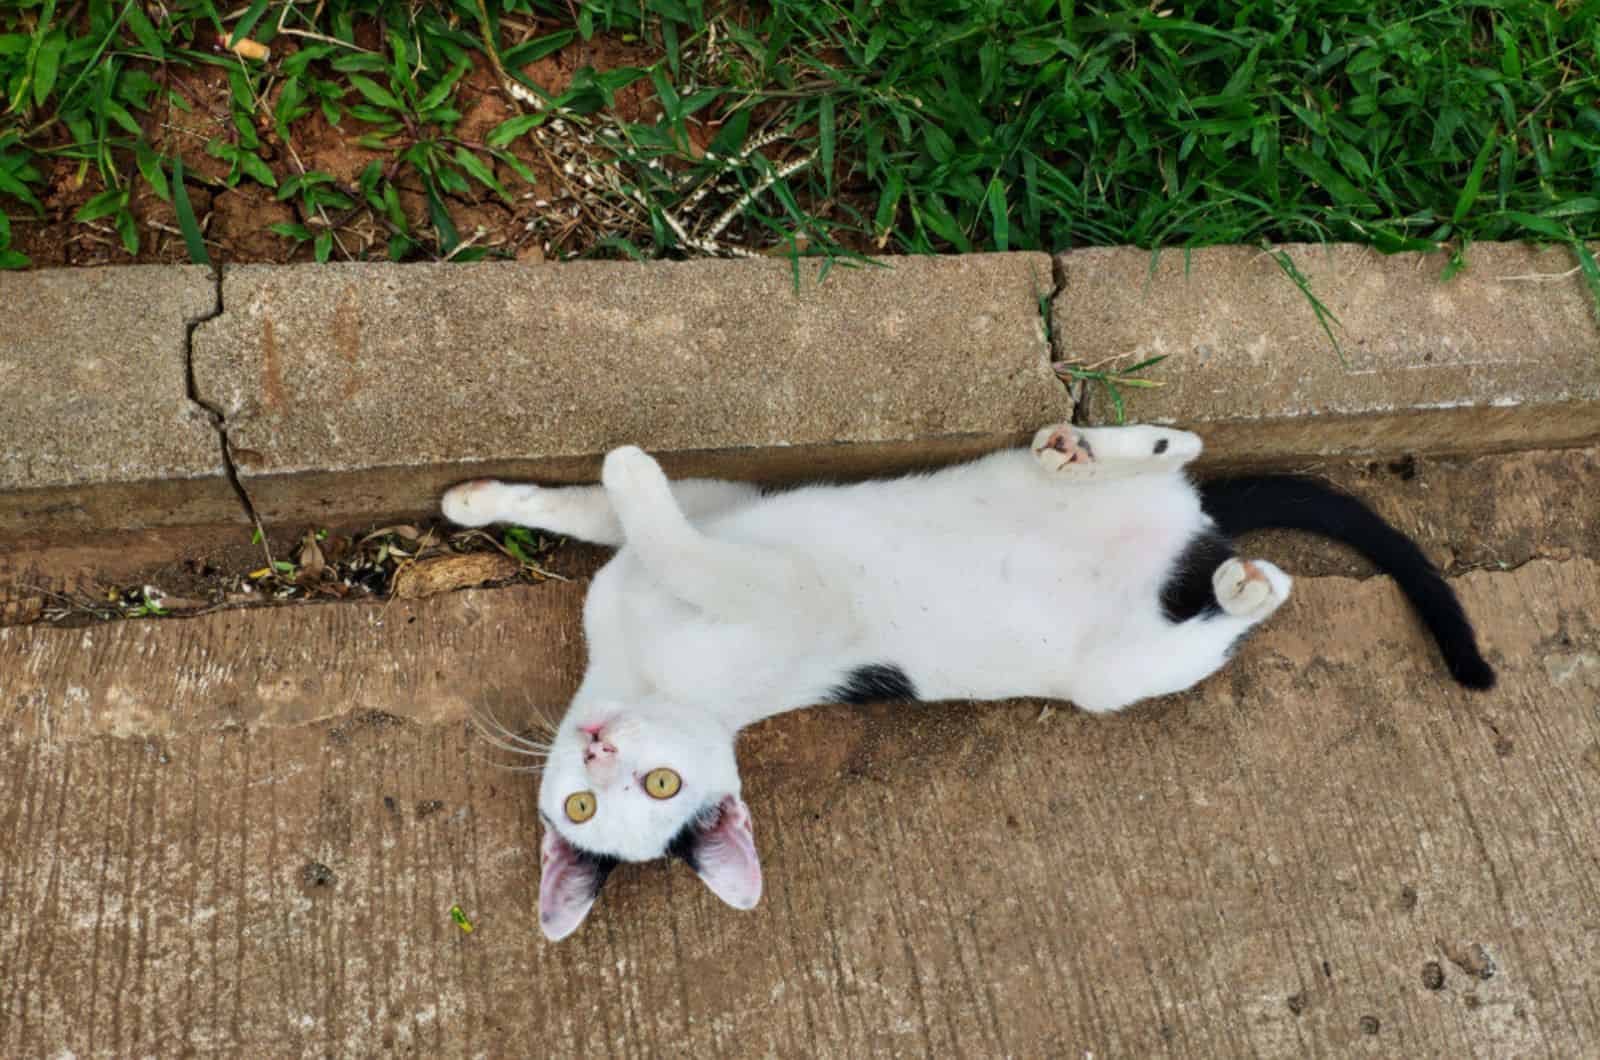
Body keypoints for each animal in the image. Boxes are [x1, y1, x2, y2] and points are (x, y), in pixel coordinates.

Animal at [435, 419, 1484, 941]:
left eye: (659, 785)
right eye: (583, 810)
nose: (599, 749)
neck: (643, 671)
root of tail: (1193, 536)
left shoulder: (734, 528)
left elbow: (624, 514)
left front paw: (511, 492)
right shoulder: (744, 550)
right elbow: (625, 525)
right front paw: (503, 497)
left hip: (1029, 511)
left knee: (1175, 464)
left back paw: (1112, 450)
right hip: (1120, 671)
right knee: (1214, 619)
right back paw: (1243, 581)